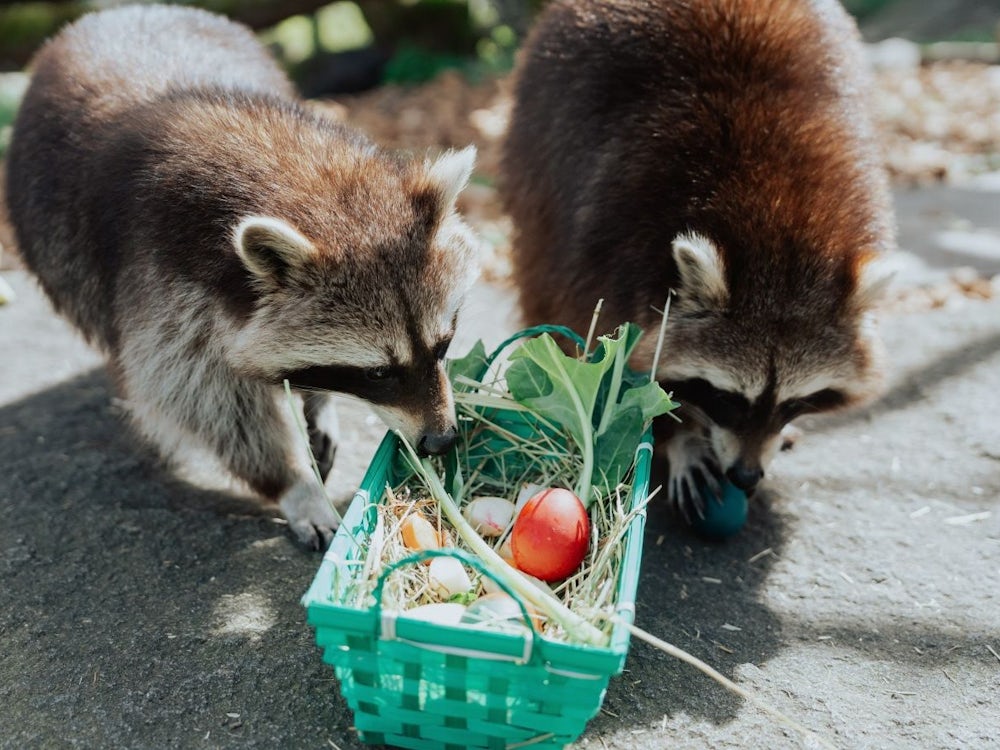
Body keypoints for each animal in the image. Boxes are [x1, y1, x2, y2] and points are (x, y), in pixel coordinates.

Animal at [3, 2, 480, 548]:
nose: (441, 440)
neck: (299, 180)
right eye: (379, 373)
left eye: (444, 344)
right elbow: (199, 396)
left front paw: (317, 400)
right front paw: (293, 482)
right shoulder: (161, 278)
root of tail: (126, 11)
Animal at [504, 0, 896, 516]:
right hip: (538, 155)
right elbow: (620, 366)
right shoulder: (610, 244)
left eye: (792, 402)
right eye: (725, 398)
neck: (781, 232)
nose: (745, 476)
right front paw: (680, 438)